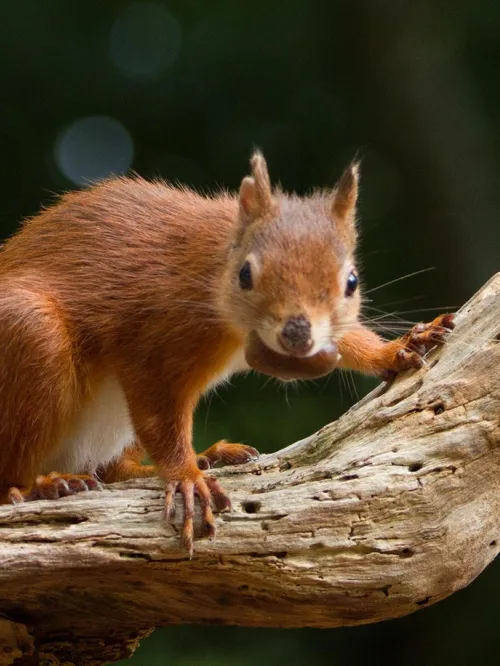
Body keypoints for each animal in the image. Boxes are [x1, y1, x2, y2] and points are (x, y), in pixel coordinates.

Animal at [0, 152, 456, 556]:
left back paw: (202, 457)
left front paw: (396, 349)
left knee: (112, 471)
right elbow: (160, 420)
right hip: (31, 338)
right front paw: (186, 476)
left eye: (352, 281)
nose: (297, 335)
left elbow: (348, 340)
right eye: (246, 274)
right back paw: (40, 486)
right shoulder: (152, 344)